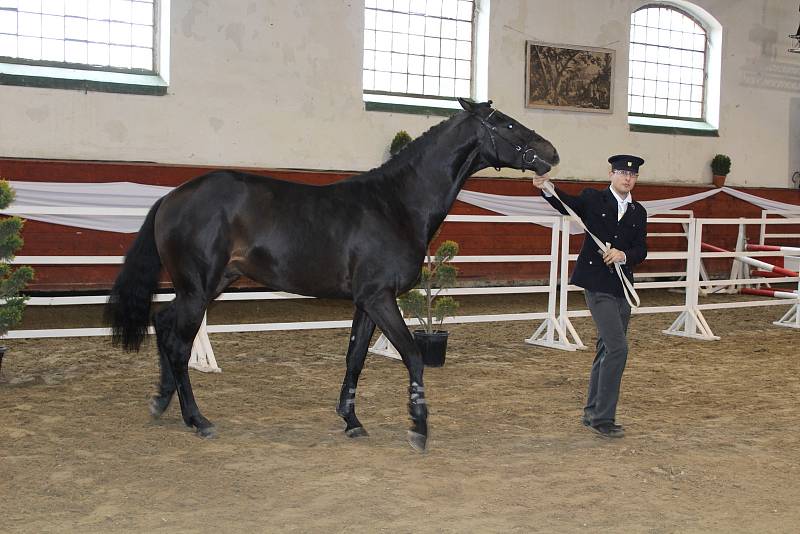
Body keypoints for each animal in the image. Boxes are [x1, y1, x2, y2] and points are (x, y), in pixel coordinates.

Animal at [104, 99, 556, 452]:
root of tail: (170, 197)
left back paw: (161, 402)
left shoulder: (367, 302)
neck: (395, 204)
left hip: (205, 286)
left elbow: (355, 358)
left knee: (163, 324)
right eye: (506, 123)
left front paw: (351, 421)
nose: (551, 152)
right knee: (179, 346)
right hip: (198, 290)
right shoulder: (379, 298)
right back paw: (197, 419)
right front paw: (419, 427)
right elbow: (412, 355)